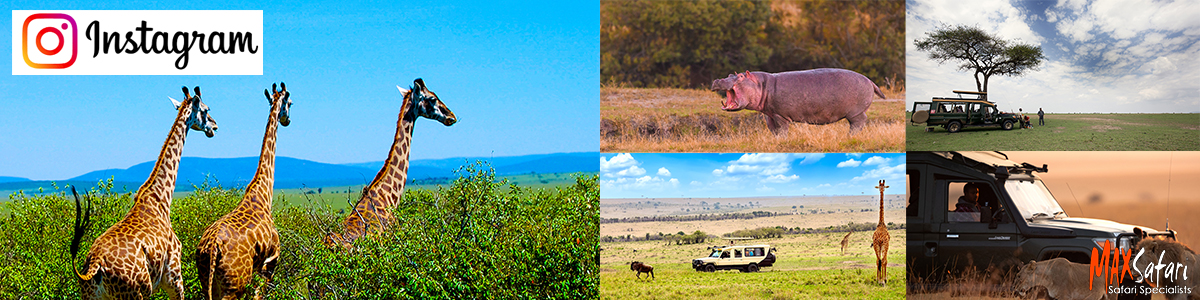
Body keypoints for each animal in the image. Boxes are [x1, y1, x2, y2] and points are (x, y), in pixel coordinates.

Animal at [69, 85, 218, 298]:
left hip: (91, 295)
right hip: (136, 293)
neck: (162, 198)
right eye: (206, 110)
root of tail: (95, 266)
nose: (215, 126)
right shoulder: (174, 276)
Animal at [196, 82, 292, 300]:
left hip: (207, 281)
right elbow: (260, 294)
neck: (264, 194)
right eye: (290, 103)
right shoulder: (271, 261)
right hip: (234, 285)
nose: (287, 120)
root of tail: (212, 247)